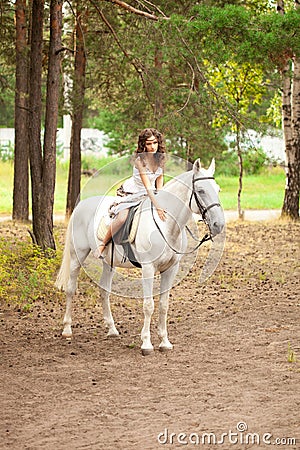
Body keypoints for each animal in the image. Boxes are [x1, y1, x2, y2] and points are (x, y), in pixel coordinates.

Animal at [56, 158, 225, 356]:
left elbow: (164, 305)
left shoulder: (171, 269)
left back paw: (112, 330)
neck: (165, 224)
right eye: (201, 190)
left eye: (218, 189)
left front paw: (165, 342)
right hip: (77, 256)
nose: (219, 224)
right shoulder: (148, 268)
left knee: (104, 291)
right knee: (70, 288)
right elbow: (148, 305)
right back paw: (67, 329)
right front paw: (146, 344)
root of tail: (80, 206)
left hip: (109, 263)